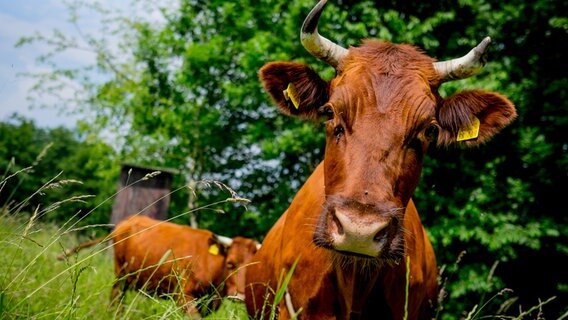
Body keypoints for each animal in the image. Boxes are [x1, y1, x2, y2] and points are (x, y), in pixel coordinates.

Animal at [57, 215, 260, 318]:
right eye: (230, 263)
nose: (240, 296)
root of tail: (128, 221)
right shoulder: (183, 295)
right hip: (121, 273)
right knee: (116, 296)